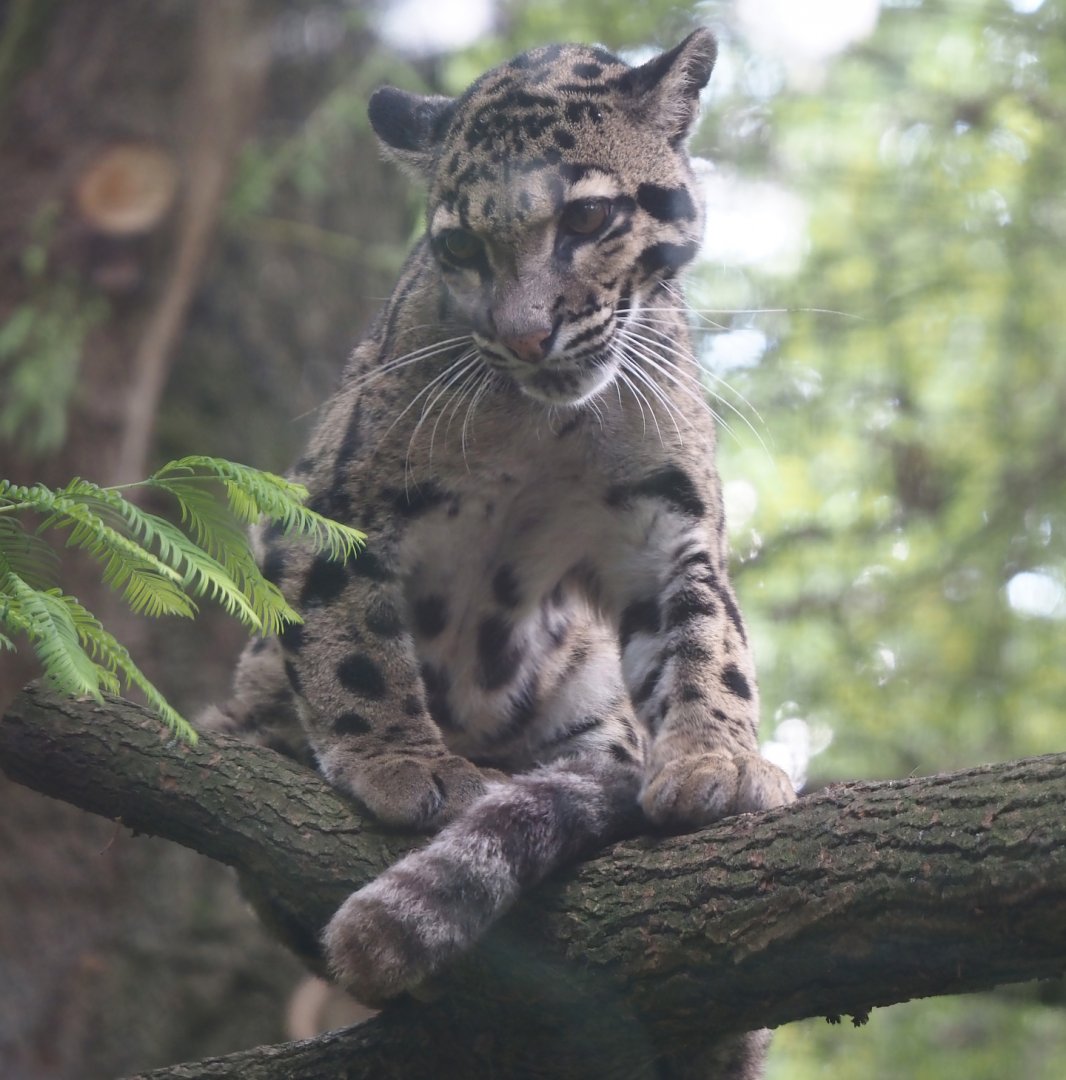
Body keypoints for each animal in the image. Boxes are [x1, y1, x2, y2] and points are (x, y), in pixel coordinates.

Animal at [204, 28, 795, 1078]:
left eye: (589, 216)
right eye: (460, 247)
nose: (526, 336)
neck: (541, 422)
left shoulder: (667, 529)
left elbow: (707, 644)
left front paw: (715, 757)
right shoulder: (329, 510)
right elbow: (352, 646)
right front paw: (404, 761)